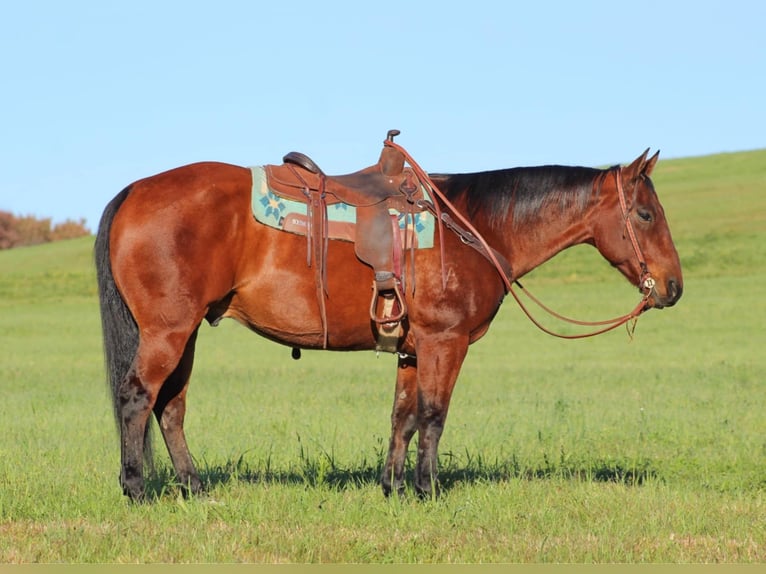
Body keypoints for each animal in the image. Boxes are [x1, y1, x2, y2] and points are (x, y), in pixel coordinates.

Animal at [94, 133, 684, 502]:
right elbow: (434, 415)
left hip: (188, 332)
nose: (673, 287)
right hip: (168, 332)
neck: (472, 227)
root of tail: (135, 191)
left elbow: (402, 417)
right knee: (137, 398)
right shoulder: (446, 341)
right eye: (645, 214)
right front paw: (428, 490)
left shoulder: (411, 348)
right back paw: (136, 489)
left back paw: (195, 489)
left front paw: (394, 487)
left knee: (170, 408)